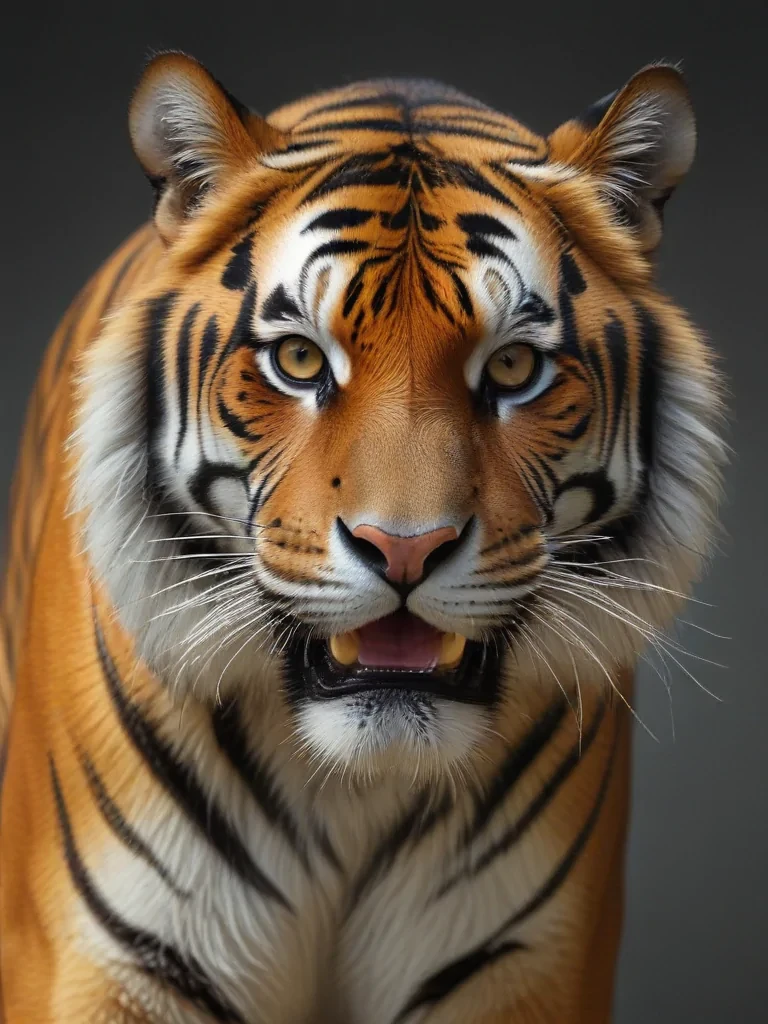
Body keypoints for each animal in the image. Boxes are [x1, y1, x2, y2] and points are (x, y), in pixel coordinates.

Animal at [0, 51, 725, 1024]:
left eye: (512, 366)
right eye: (300, 359)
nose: (405, 549)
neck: (354, 786)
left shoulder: (524, 962)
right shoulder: (112, 963)